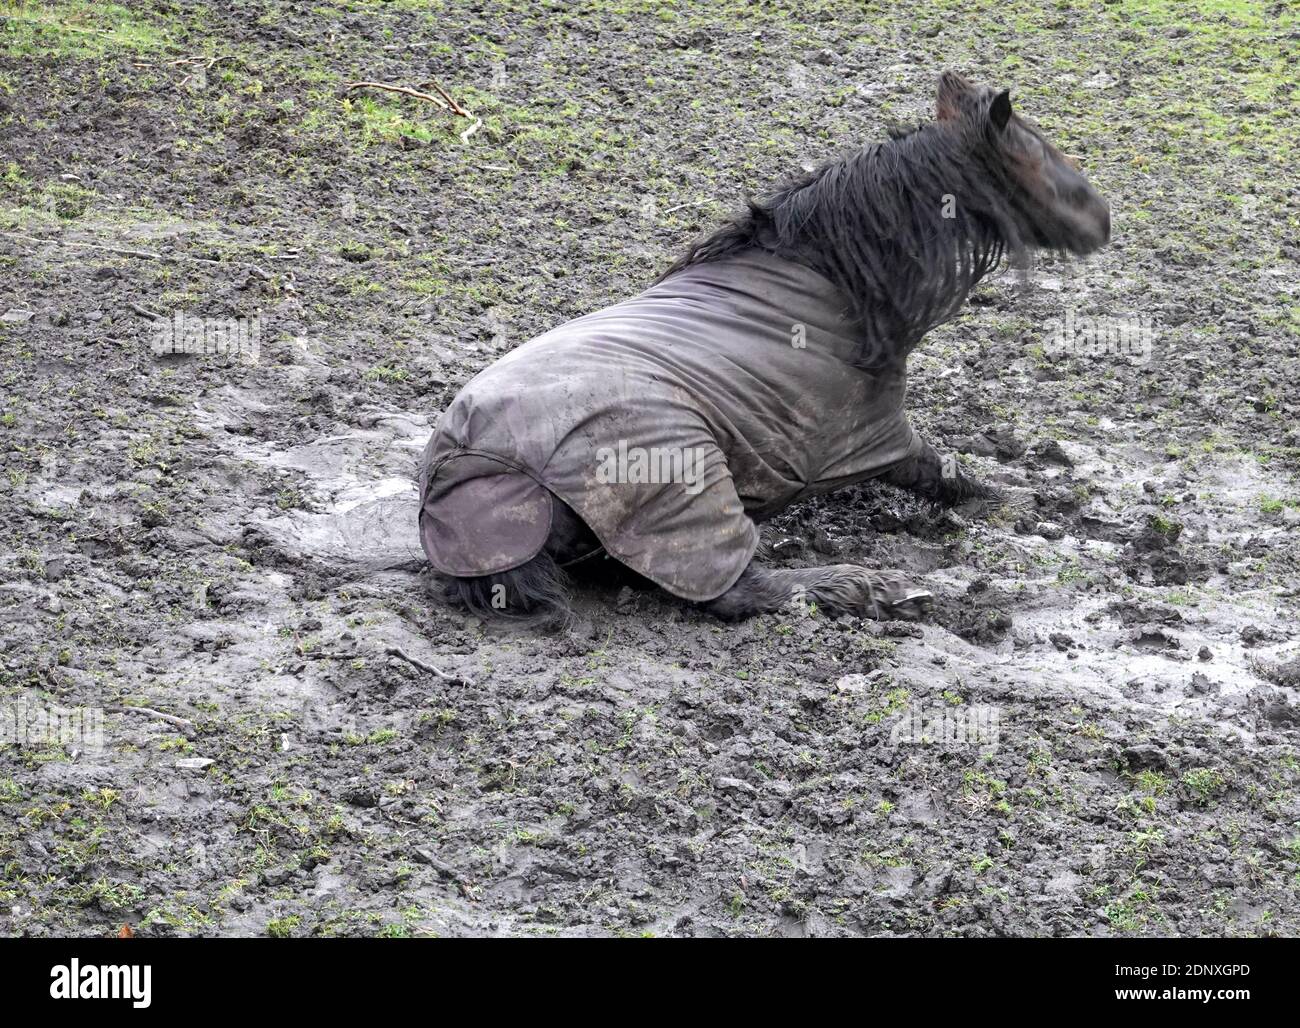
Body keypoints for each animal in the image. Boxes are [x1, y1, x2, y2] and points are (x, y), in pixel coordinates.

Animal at [416, 76, 1107, 623]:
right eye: (1036, 151)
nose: (1103, 217)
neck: (835, 276)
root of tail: (469, 459)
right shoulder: (875, 432)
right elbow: (945, 474)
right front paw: (1016, 502)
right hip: (686, 481)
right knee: (736, 588)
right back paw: (869, 588)